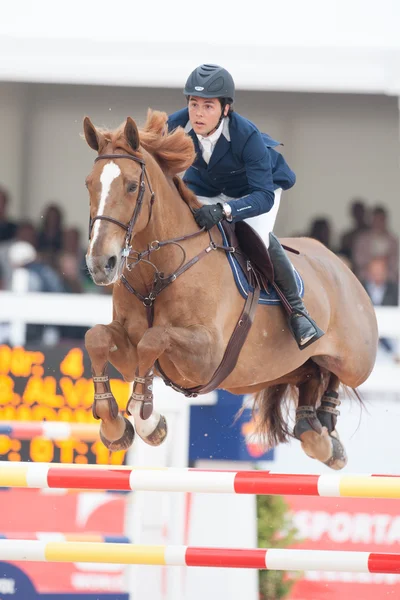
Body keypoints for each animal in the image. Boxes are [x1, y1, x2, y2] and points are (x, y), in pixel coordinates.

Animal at [82, 111, 378, 468]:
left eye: (131, 186)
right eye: (89, 184)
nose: (101, 264)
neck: (158, 271)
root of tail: (342, 266)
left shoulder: (207, 356)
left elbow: (154, 340)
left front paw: (147, 420)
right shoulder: (128, 350)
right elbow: (97, 337)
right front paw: (114, 427)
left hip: (356, 362)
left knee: (333, 371)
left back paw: (328, 422)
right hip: (273, 372)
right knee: (311, 379)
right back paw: (318, 432)